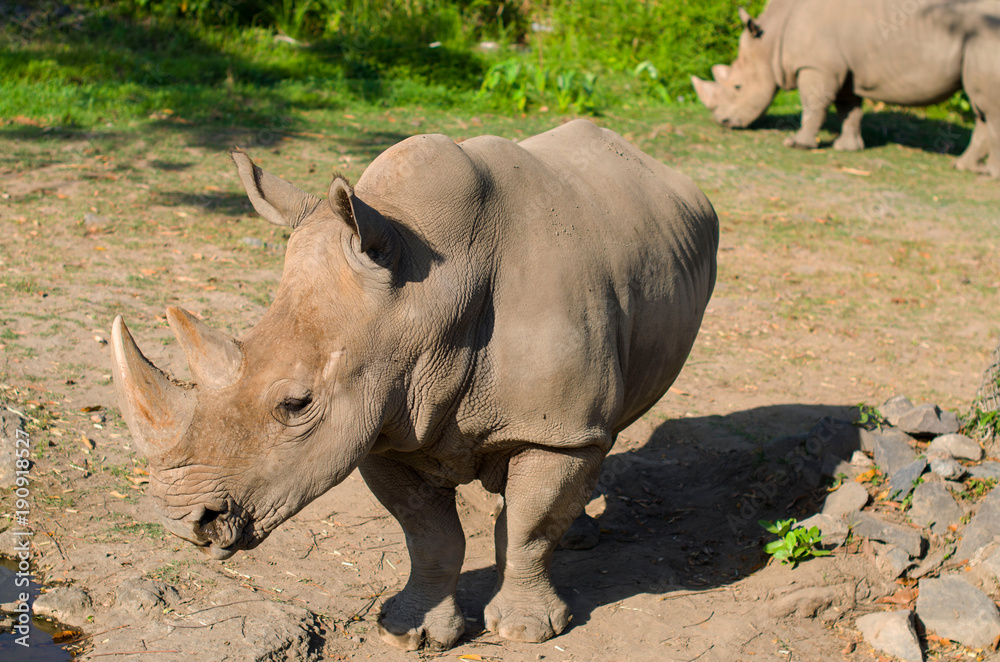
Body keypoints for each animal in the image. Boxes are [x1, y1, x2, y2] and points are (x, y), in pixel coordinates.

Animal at [110, 119, 718, 650]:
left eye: (296, 404)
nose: (181, 523)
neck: (428, 300)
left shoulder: (553, 428)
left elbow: (531, 525)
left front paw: (526, 631)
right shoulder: (382, 419)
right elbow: (428, 534)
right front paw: (410, 633)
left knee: (603, 431)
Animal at [691, 0, 1000, 175]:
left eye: (738, 87)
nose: (722, 121)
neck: (771, 39)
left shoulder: (817, 66)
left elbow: (813, 104)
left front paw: (797, 144)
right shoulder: (842, 67)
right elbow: (849, 108)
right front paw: (847, 149)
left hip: (987, 39)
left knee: (988, 110)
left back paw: (987, 174)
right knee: (981, 111)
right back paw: (963, 167)